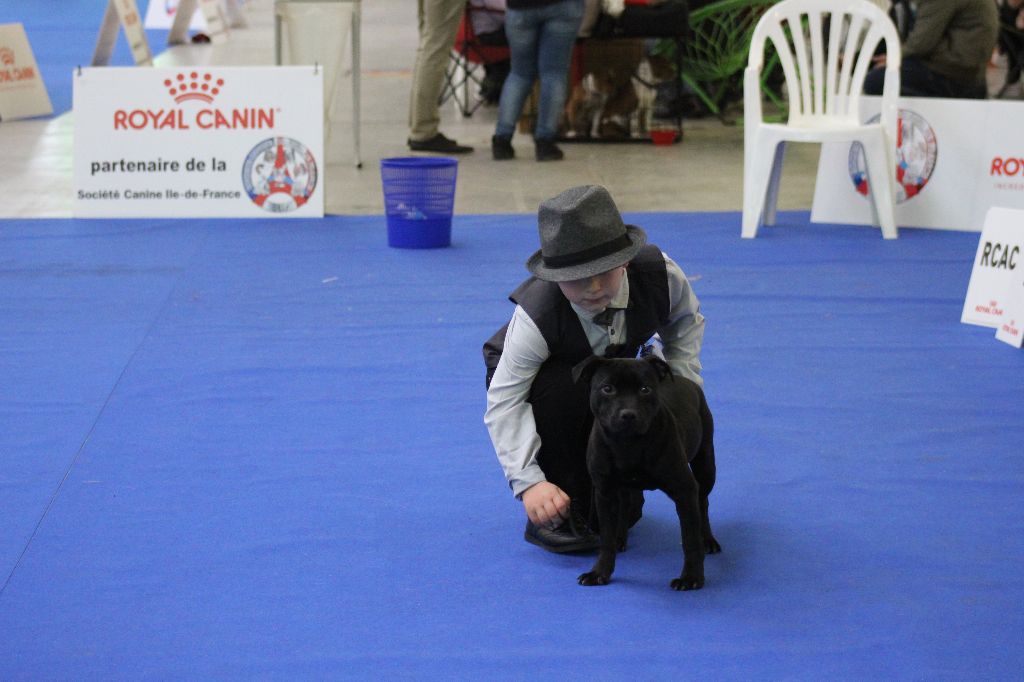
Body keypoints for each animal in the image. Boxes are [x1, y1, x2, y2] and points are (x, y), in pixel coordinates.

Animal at [569, 352, 720, 585]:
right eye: (607, 388)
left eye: (645, 389)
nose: (628, 414)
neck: (628, 444)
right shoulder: (605, 492)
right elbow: (606, 538)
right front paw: (600, 572)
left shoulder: (684, 490)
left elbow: (690, 539)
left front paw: (691, 577)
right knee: (625, 505)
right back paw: (621, 538)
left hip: (705, 464)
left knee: (703, 503)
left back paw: (708, 540)